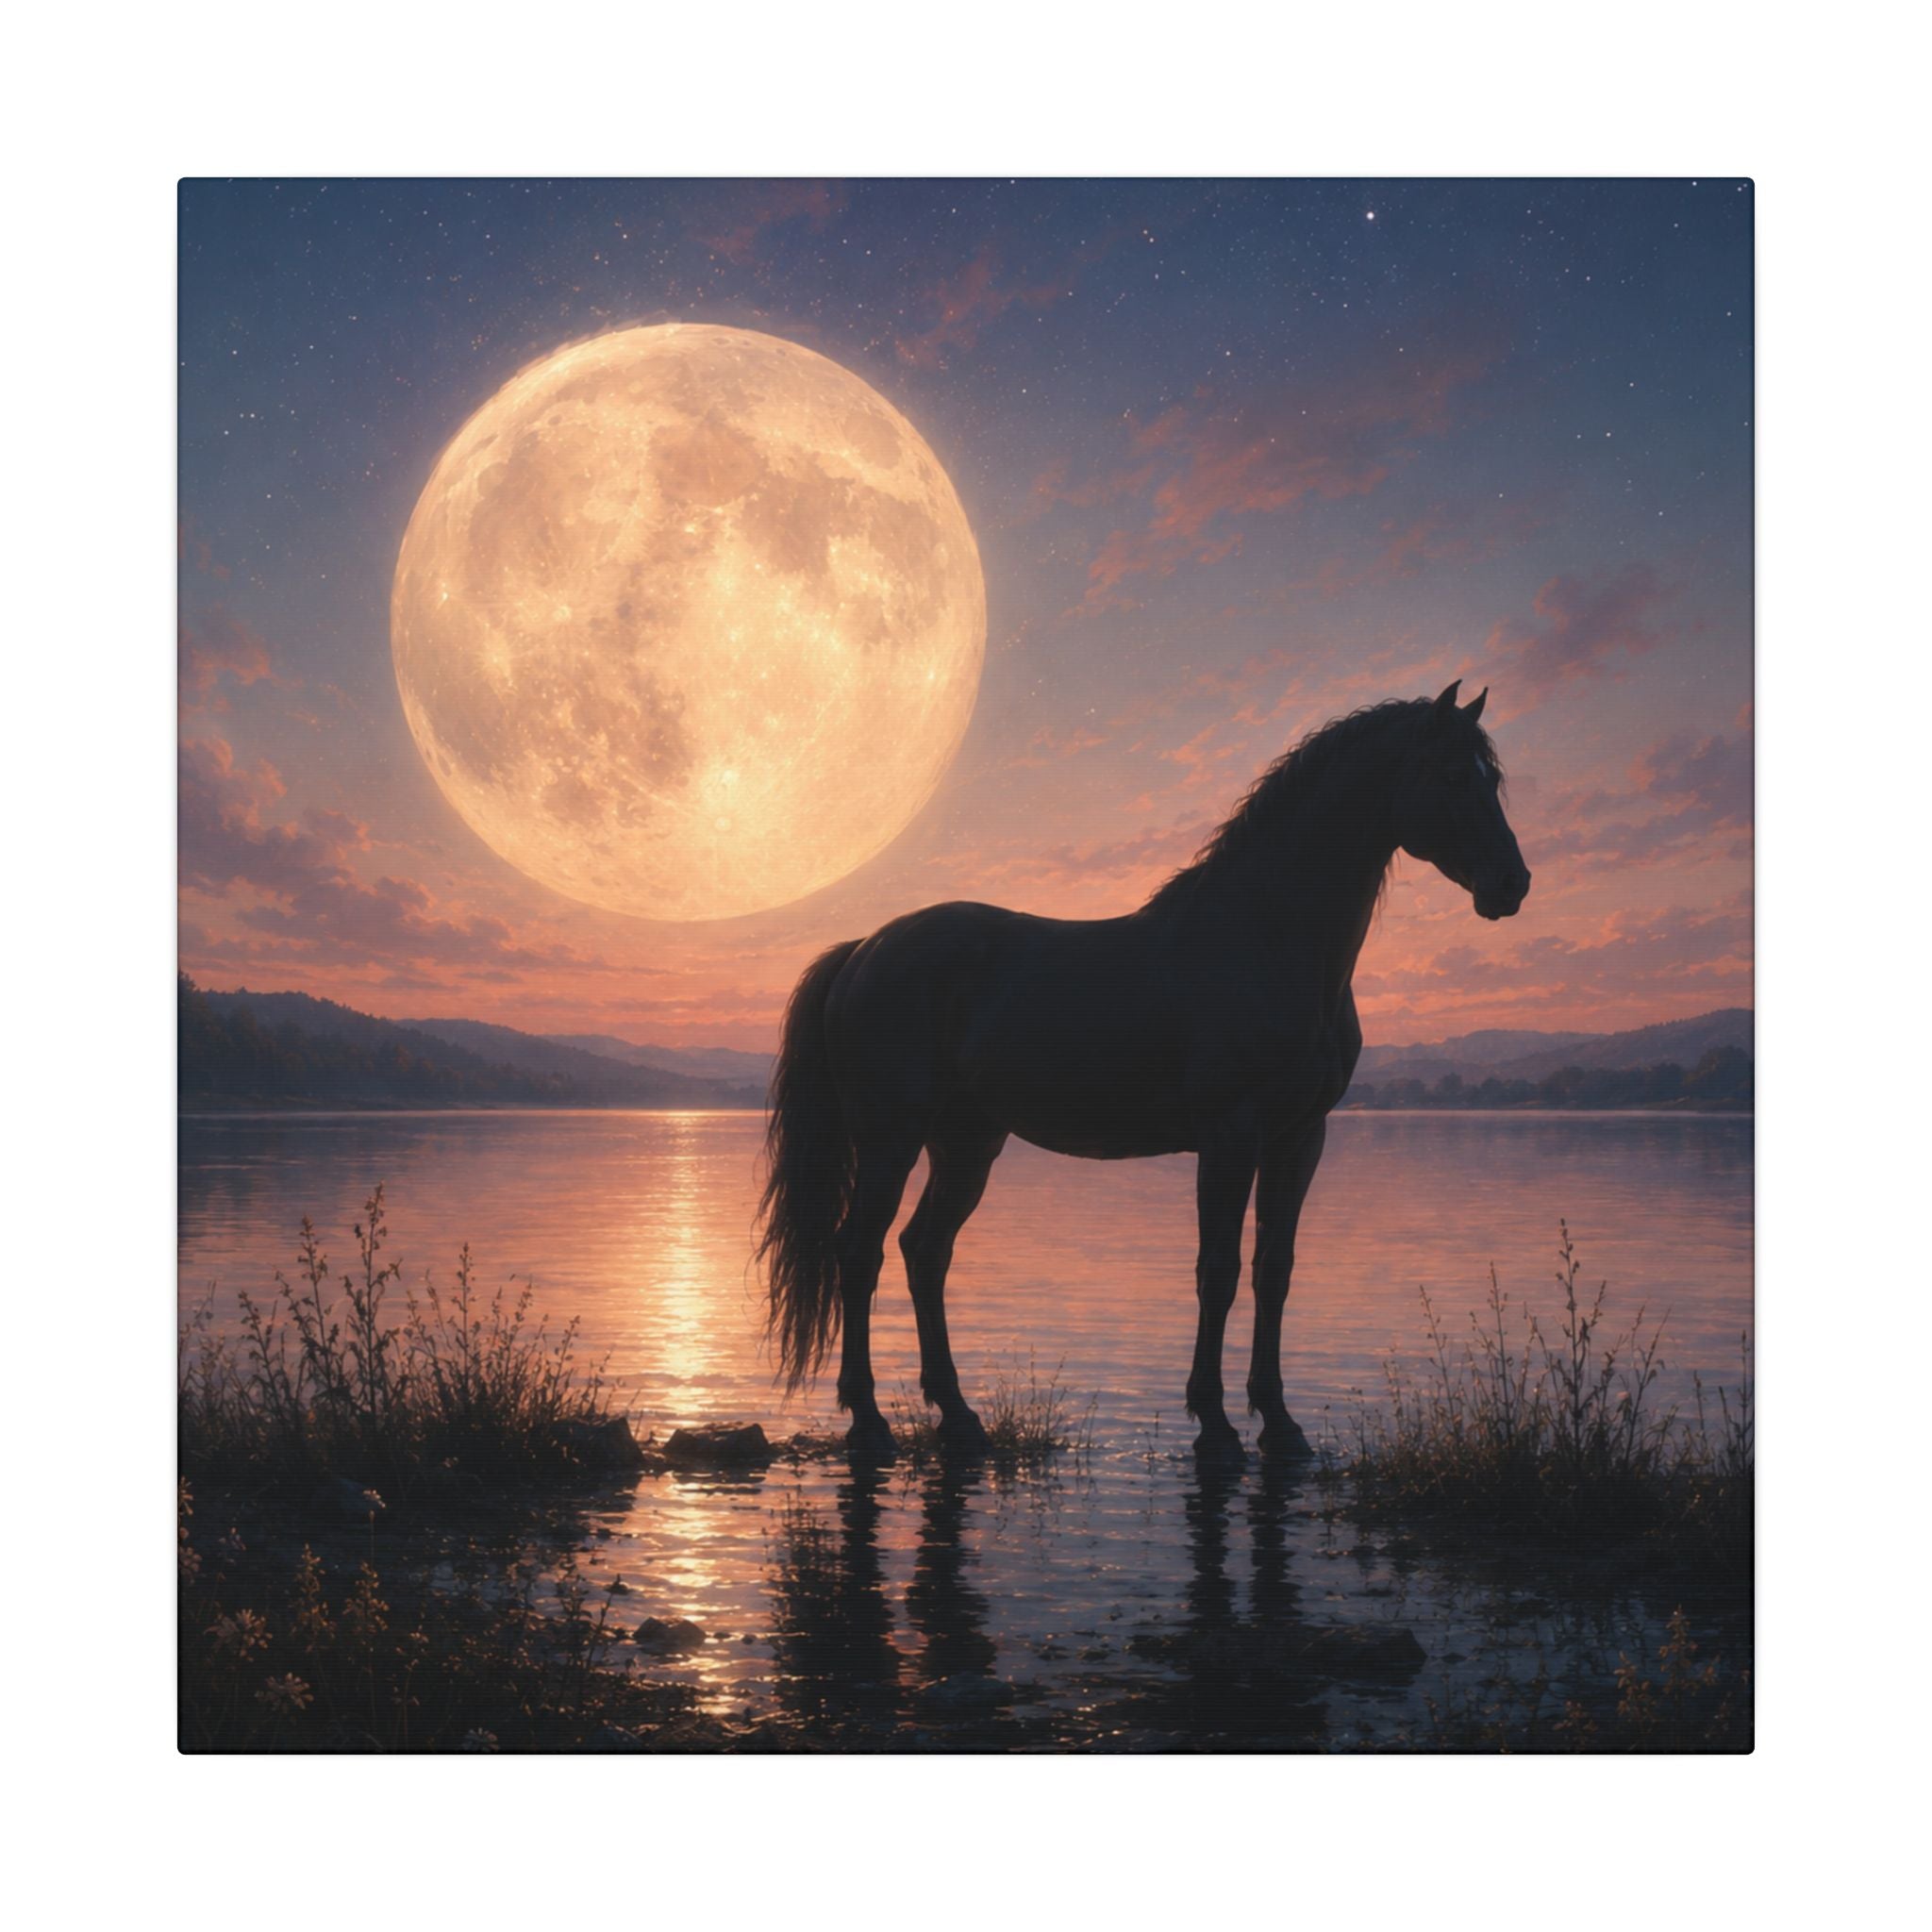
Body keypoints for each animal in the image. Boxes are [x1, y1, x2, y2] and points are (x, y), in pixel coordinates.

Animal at [756, 681, 1531, 1465]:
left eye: (1492, 778)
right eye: (1451, 775)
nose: (1512, 884)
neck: (1266, 942)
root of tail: (866, 948)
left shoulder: (1299, 1138)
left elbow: (1273, 1270)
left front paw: (1280, 1424)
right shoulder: (1230, 1137)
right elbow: (1217, 1271)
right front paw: (1215, 1424)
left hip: (967, 1144)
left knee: (925, 1251)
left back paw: (958, 1415)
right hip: (891, 1140)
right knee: (860, 1253)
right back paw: (868, 1419)